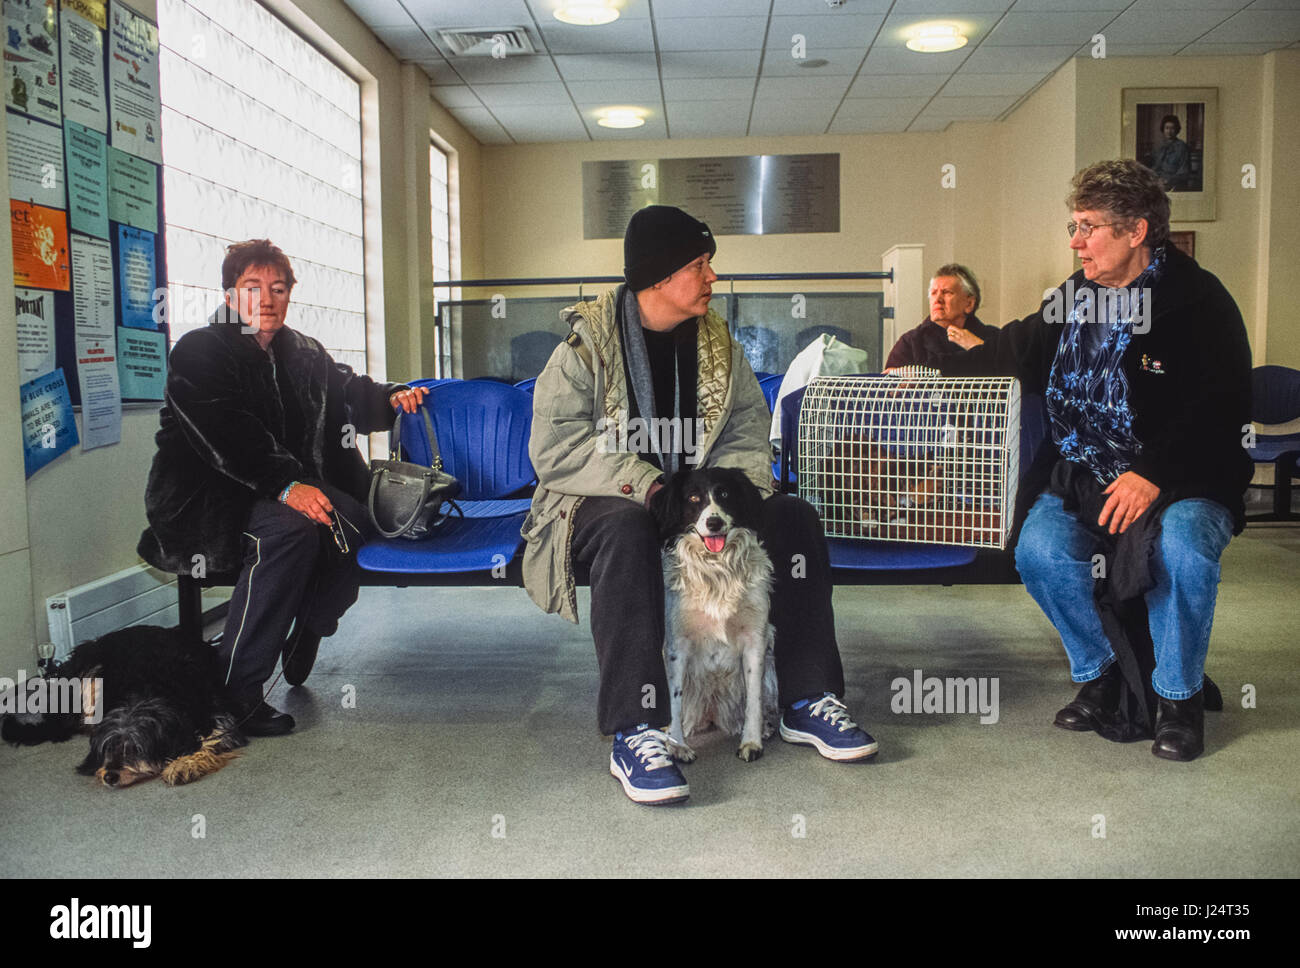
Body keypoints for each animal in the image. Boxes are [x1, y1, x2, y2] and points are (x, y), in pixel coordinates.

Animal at [1, 626, 245, 784]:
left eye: (136, 749)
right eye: (107, 748)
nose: (109, 776)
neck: (150, 688)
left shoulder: (218, 709)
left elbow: (215, 738)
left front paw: (185, 764)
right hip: (86, 671)